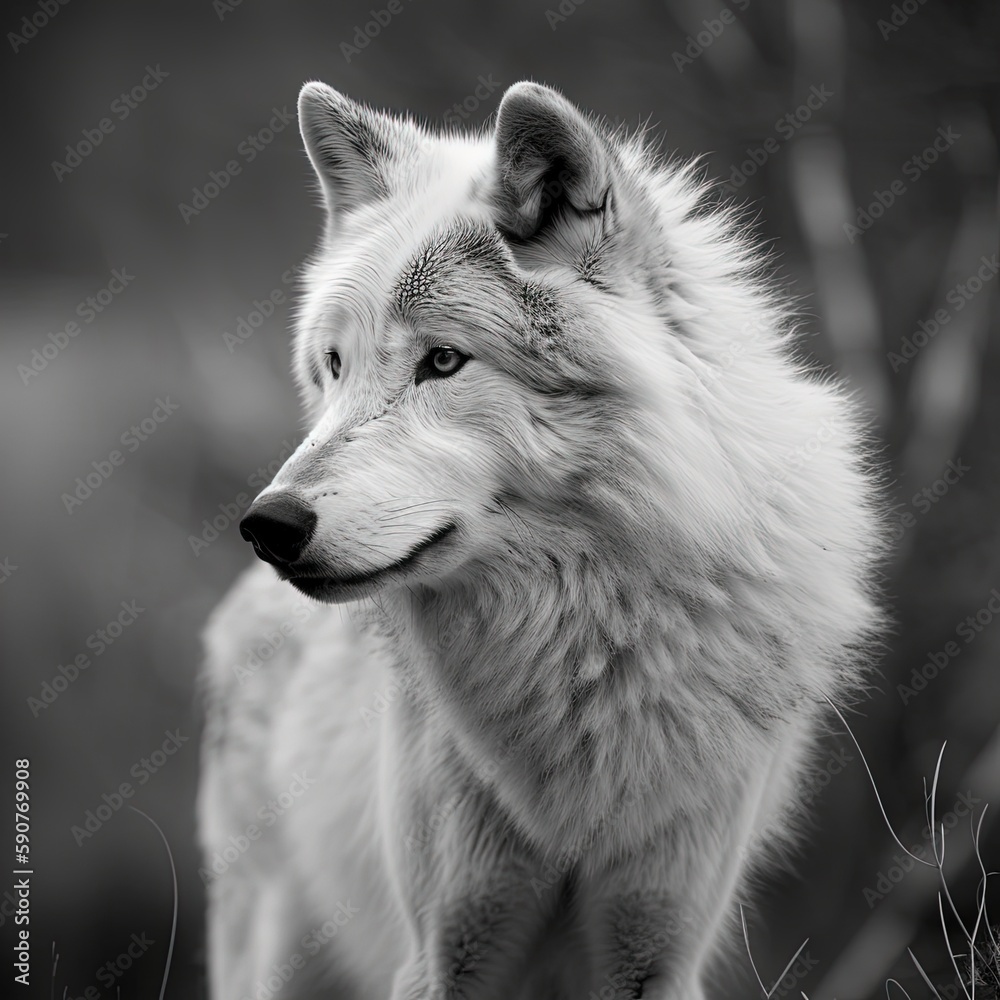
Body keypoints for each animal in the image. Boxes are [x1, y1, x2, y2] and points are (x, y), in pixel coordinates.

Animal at [197, 80, 884, 999]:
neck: (585, 637)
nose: (269, 525)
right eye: (335, 365)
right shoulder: (445, 950)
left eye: (443, 361)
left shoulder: (658, 948)